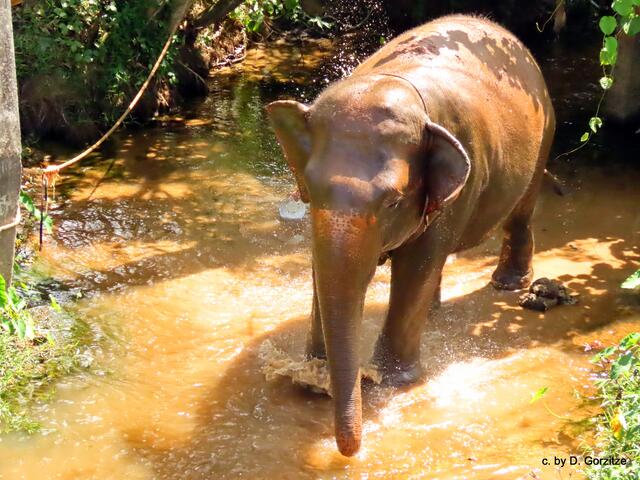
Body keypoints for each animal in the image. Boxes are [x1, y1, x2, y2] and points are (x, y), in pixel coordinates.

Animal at [267, 14, 555, 457]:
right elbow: (322, 268)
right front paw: (314, 375)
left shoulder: (460, 183)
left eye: (392, 202)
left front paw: (390, 380)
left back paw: (509, 285)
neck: (394, 82)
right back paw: (435, 311)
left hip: (542, 140)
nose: (350, 451)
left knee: (520, 213)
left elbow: (416, 266)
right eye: (310, 192)